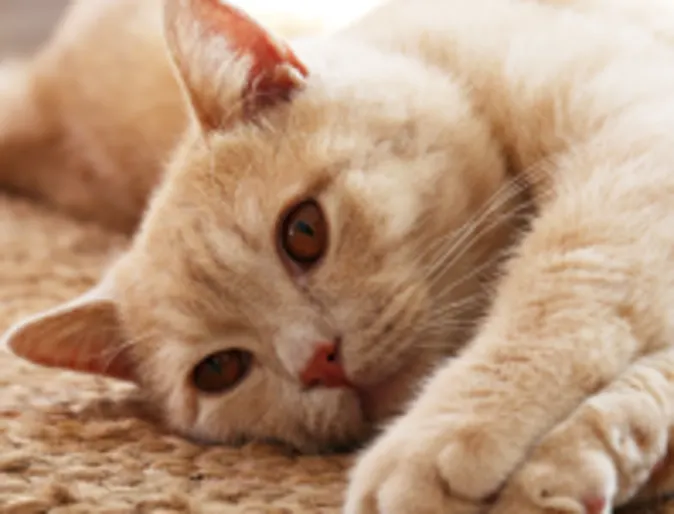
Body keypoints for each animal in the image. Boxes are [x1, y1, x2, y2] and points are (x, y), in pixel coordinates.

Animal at [1, 1, 672, 512]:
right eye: (219, 369)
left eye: (303, 232)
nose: (319, 362)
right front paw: (568, 470)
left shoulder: (634, 137)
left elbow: (564, 281)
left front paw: (436, 444)